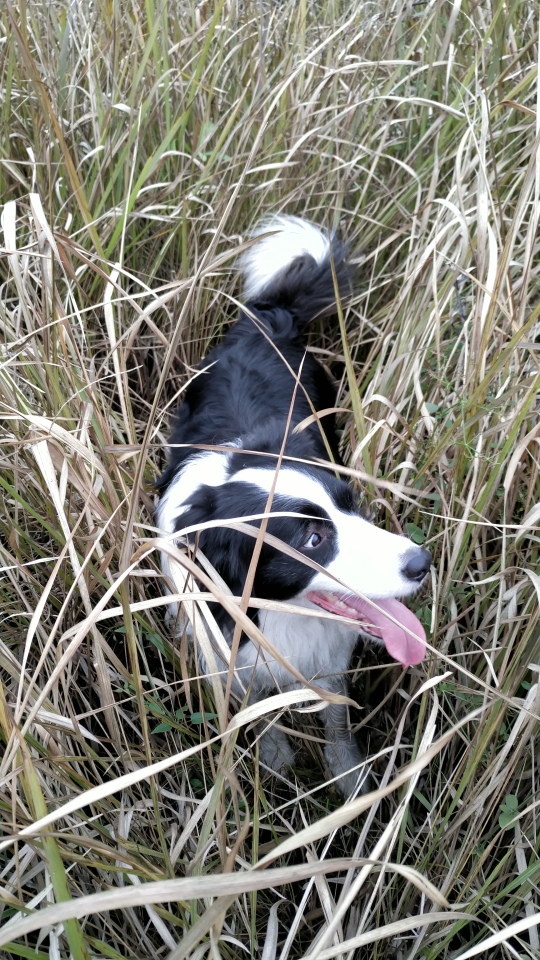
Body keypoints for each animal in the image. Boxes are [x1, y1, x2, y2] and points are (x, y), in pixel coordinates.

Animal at [156, 218, 430, 796]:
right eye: (312, 539)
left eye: (352, 505)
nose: (422, 563)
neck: (281, 614)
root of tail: (268, 319)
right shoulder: (231, 657)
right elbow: (258, 711)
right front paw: (277, 755)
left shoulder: (330, 656)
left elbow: (337, 716)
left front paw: (349, 777)